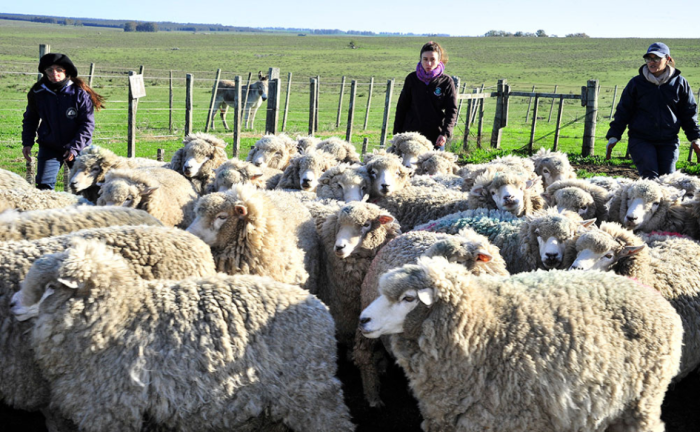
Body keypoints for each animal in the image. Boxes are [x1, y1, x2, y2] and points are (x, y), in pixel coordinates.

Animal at [11, 238, 354, 432]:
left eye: (50, 287)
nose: (12, 304)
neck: (119, 312)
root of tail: (320, 307)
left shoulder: (109, 407)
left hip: (311, 391)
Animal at [359, 257, 683, 432]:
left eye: (408, 298)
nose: (363, 319)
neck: (484, 328)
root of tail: (654, 297)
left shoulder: (518, 417)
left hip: (643, 401)